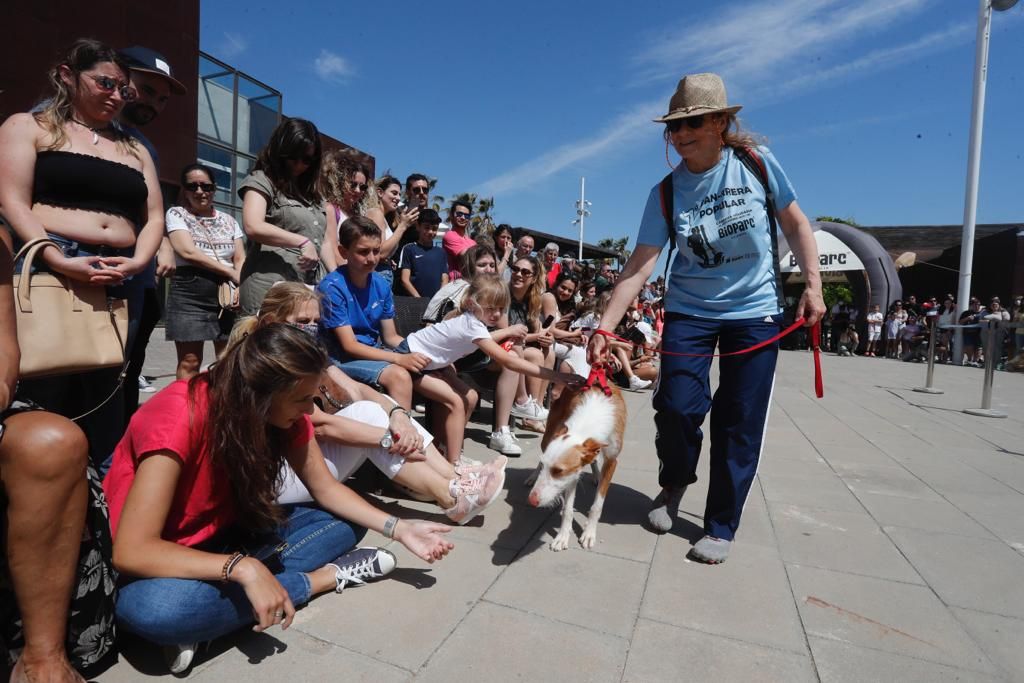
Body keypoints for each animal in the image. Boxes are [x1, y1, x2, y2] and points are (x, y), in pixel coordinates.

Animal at [528, 382, 622, 552]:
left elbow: (597, 505)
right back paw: (532, 477)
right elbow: (567, 510)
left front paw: (589, 533)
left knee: (594, 461)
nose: (531, 500)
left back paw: (596, 475)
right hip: (549, 434)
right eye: (547, 466)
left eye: (558, 471)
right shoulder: (572, 474)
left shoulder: (612, 461)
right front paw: (563, 536)